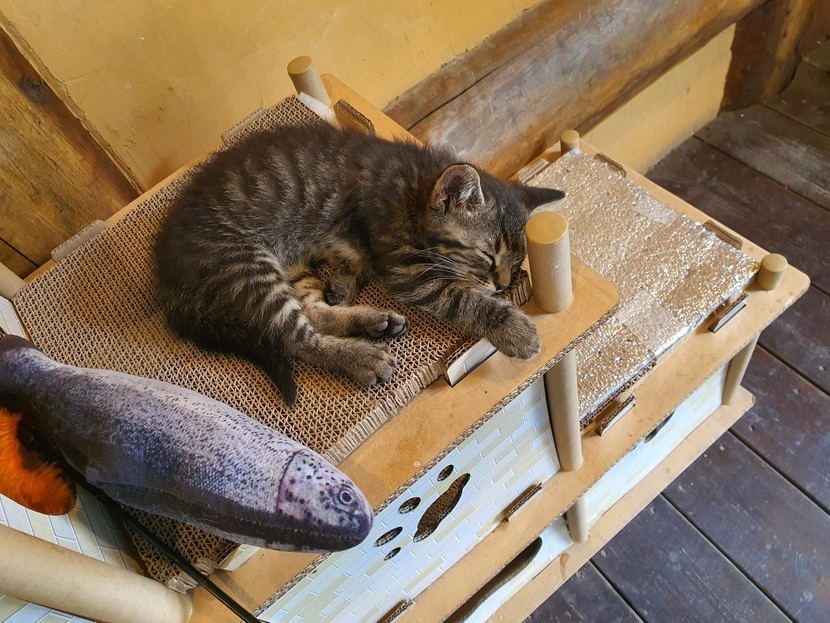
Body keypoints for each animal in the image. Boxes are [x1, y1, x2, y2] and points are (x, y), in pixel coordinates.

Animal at [154, 123, 564, 404]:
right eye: (487, 255)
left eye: (518, 260)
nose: (502, 284)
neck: (413, 188)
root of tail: (164, 274)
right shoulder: (406, 269)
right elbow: (462, 299)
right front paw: (513, 329)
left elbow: (353, 262)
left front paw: (344, 282)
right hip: (244, 263)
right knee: (294, 338)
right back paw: (362, 358)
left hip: (286, 264)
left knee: (311, 311)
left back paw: (370, 321)